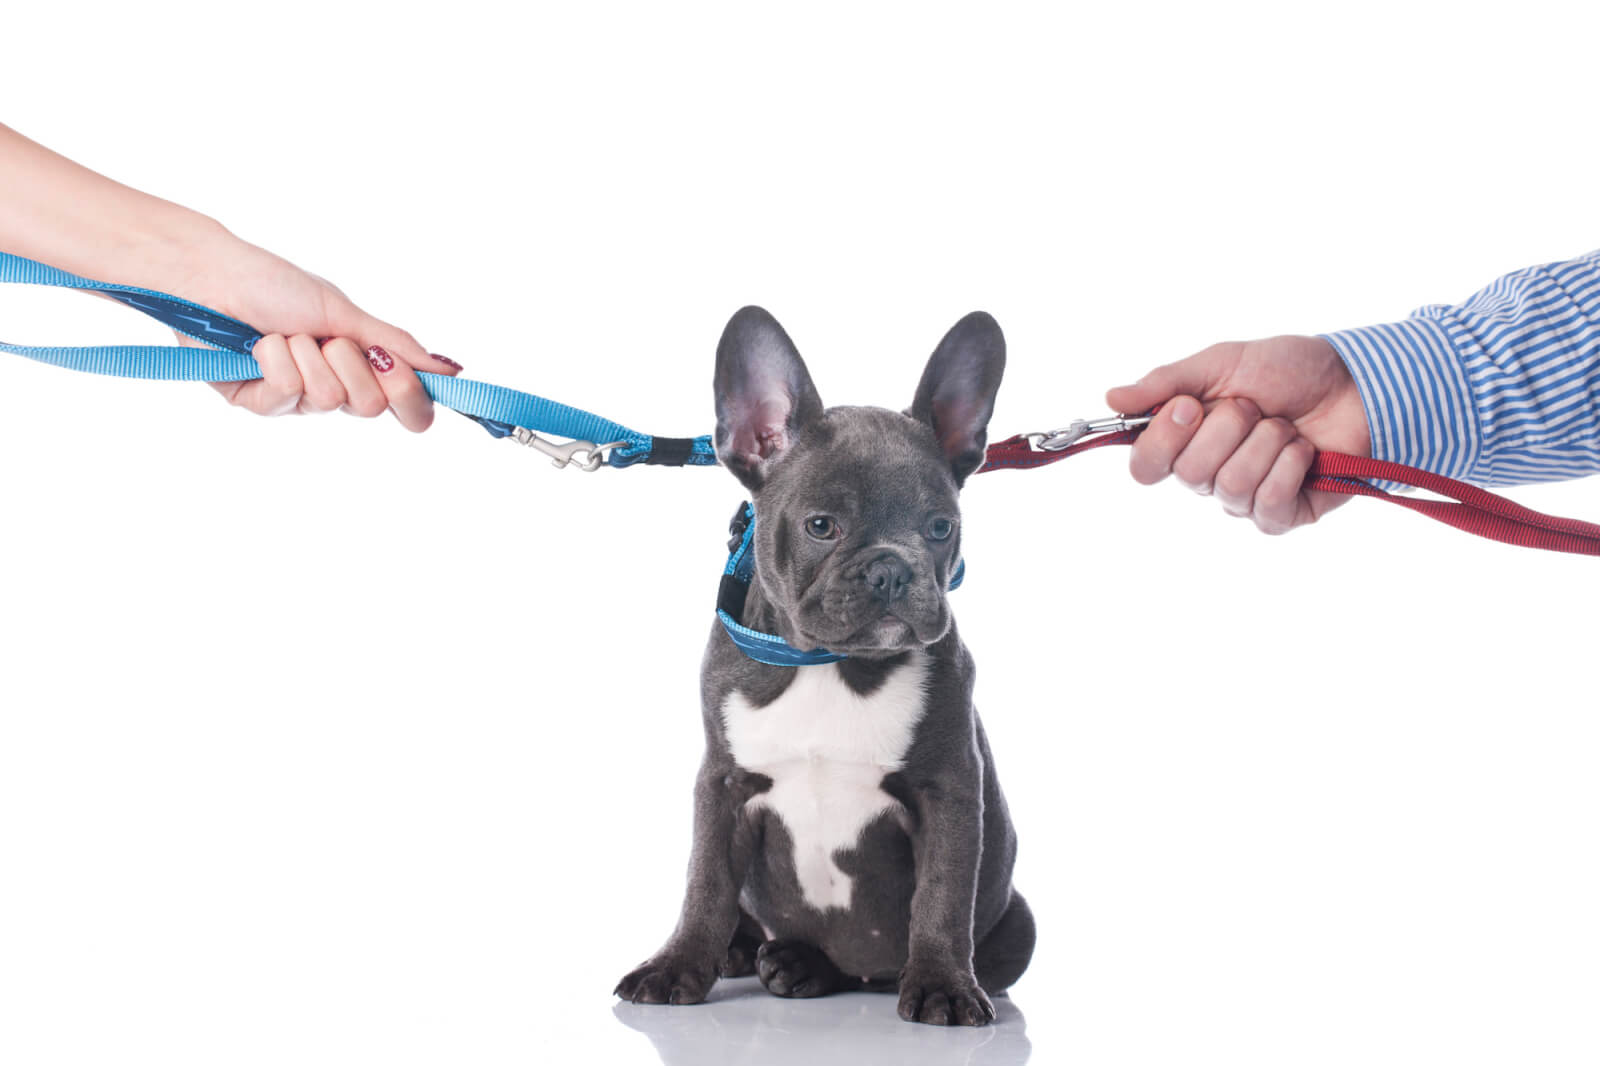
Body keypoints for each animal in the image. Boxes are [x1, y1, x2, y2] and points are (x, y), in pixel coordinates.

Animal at [611, 305, 1036, 1024]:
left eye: (941, 528)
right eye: (821, 526)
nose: (892, 569)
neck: (831, 663)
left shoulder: (949, 786)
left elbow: (943, 894)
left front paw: (944, 985)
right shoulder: (723, 784)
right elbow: (705, 884)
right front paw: (677, 965)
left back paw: (804, 965)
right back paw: (753, 954)